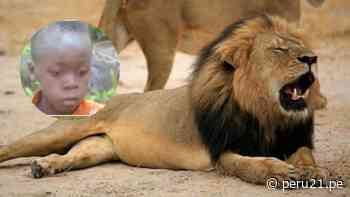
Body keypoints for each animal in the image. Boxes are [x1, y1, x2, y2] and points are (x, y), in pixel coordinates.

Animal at [0, 15, 328, 186]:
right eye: (278, 50)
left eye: (300, 46)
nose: (312, 58)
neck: (265, 113)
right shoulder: (222, 152)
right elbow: (250, 166)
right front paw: (278, 171)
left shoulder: (293, 140)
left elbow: (305, 155)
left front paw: (313, 172)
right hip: (59, 132)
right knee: (13, 147)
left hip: (97, 149)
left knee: (69, 156)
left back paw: (45, 167)